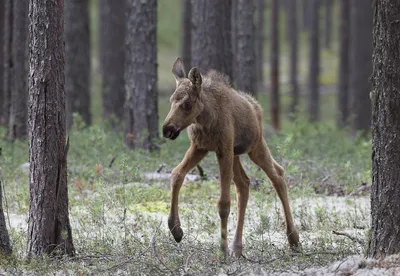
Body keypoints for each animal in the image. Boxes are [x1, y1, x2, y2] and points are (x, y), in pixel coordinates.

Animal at [162, 57, 300, 258]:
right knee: (244, 183)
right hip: (235, 154)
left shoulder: (223, 149)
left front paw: (222, 250)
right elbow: (176, 174)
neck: (205, 120)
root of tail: (256, 107)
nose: (167, 129)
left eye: (187, 103)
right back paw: (237, 247)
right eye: (171, 100)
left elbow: (224, 203)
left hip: (254, 147)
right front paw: (176, 229)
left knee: (278, 175)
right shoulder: (200, 147)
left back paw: (293, 239)